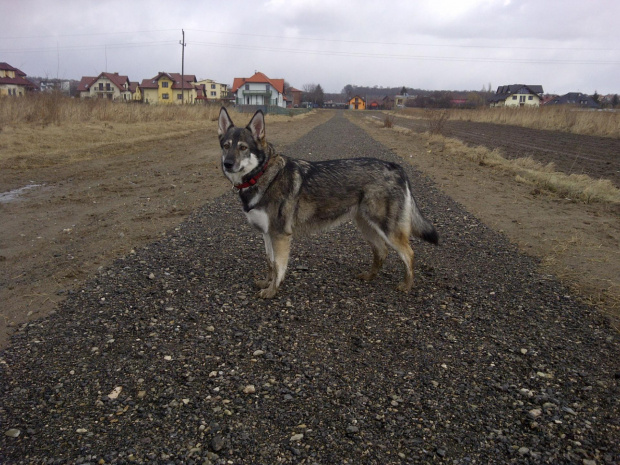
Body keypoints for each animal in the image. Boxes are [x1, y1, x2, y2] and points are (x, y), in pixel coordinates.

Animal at [218, 107, 440, 298]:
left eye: (243, 148)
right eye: (226, 146)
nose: (227, 164)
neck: (263, 175)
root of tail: (397, 167)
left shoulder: (280, 235)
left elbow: (279, 267)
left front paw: (272, 291)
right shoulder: (267, 234)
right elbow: (270, 263)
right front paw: (266, 282)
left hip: (388, 230)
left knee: (409, 254)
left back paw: (406, 286)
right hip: (366, 226)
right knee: (382, 251)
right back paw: (369, 276)